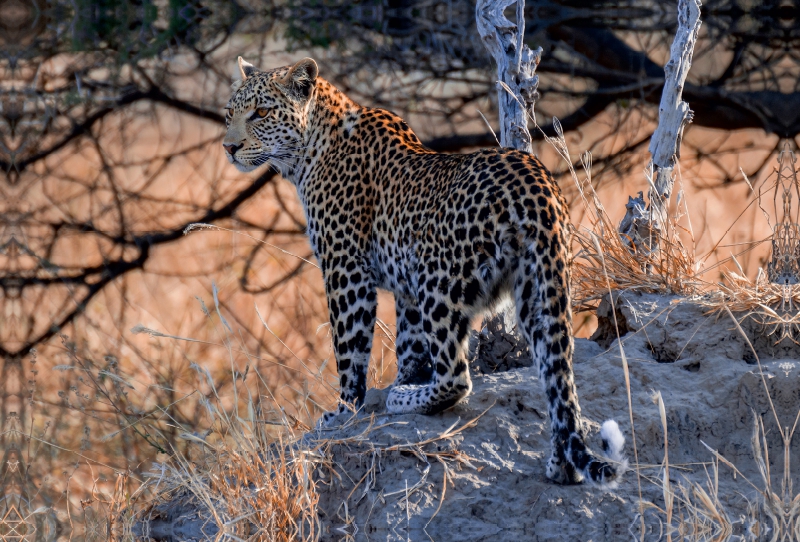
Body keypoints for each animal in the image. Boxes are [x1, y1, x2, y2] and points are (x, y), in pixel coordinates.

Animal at [223, 57, 624, 486]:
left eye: (261, 113)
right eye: (230, 113)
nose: (229, 148)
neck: (308, 151)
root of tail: (536, 184)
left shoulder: (345, 268)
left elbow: (349, 349)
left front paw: (345, 411)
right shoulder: (406, 288)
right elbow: (409, 345)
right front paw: (404, 380)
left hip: (440, 280)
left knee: (456, 376)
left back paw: (405, 401)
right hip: (541, 288)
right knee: (557, 376)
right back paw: (561, 463)